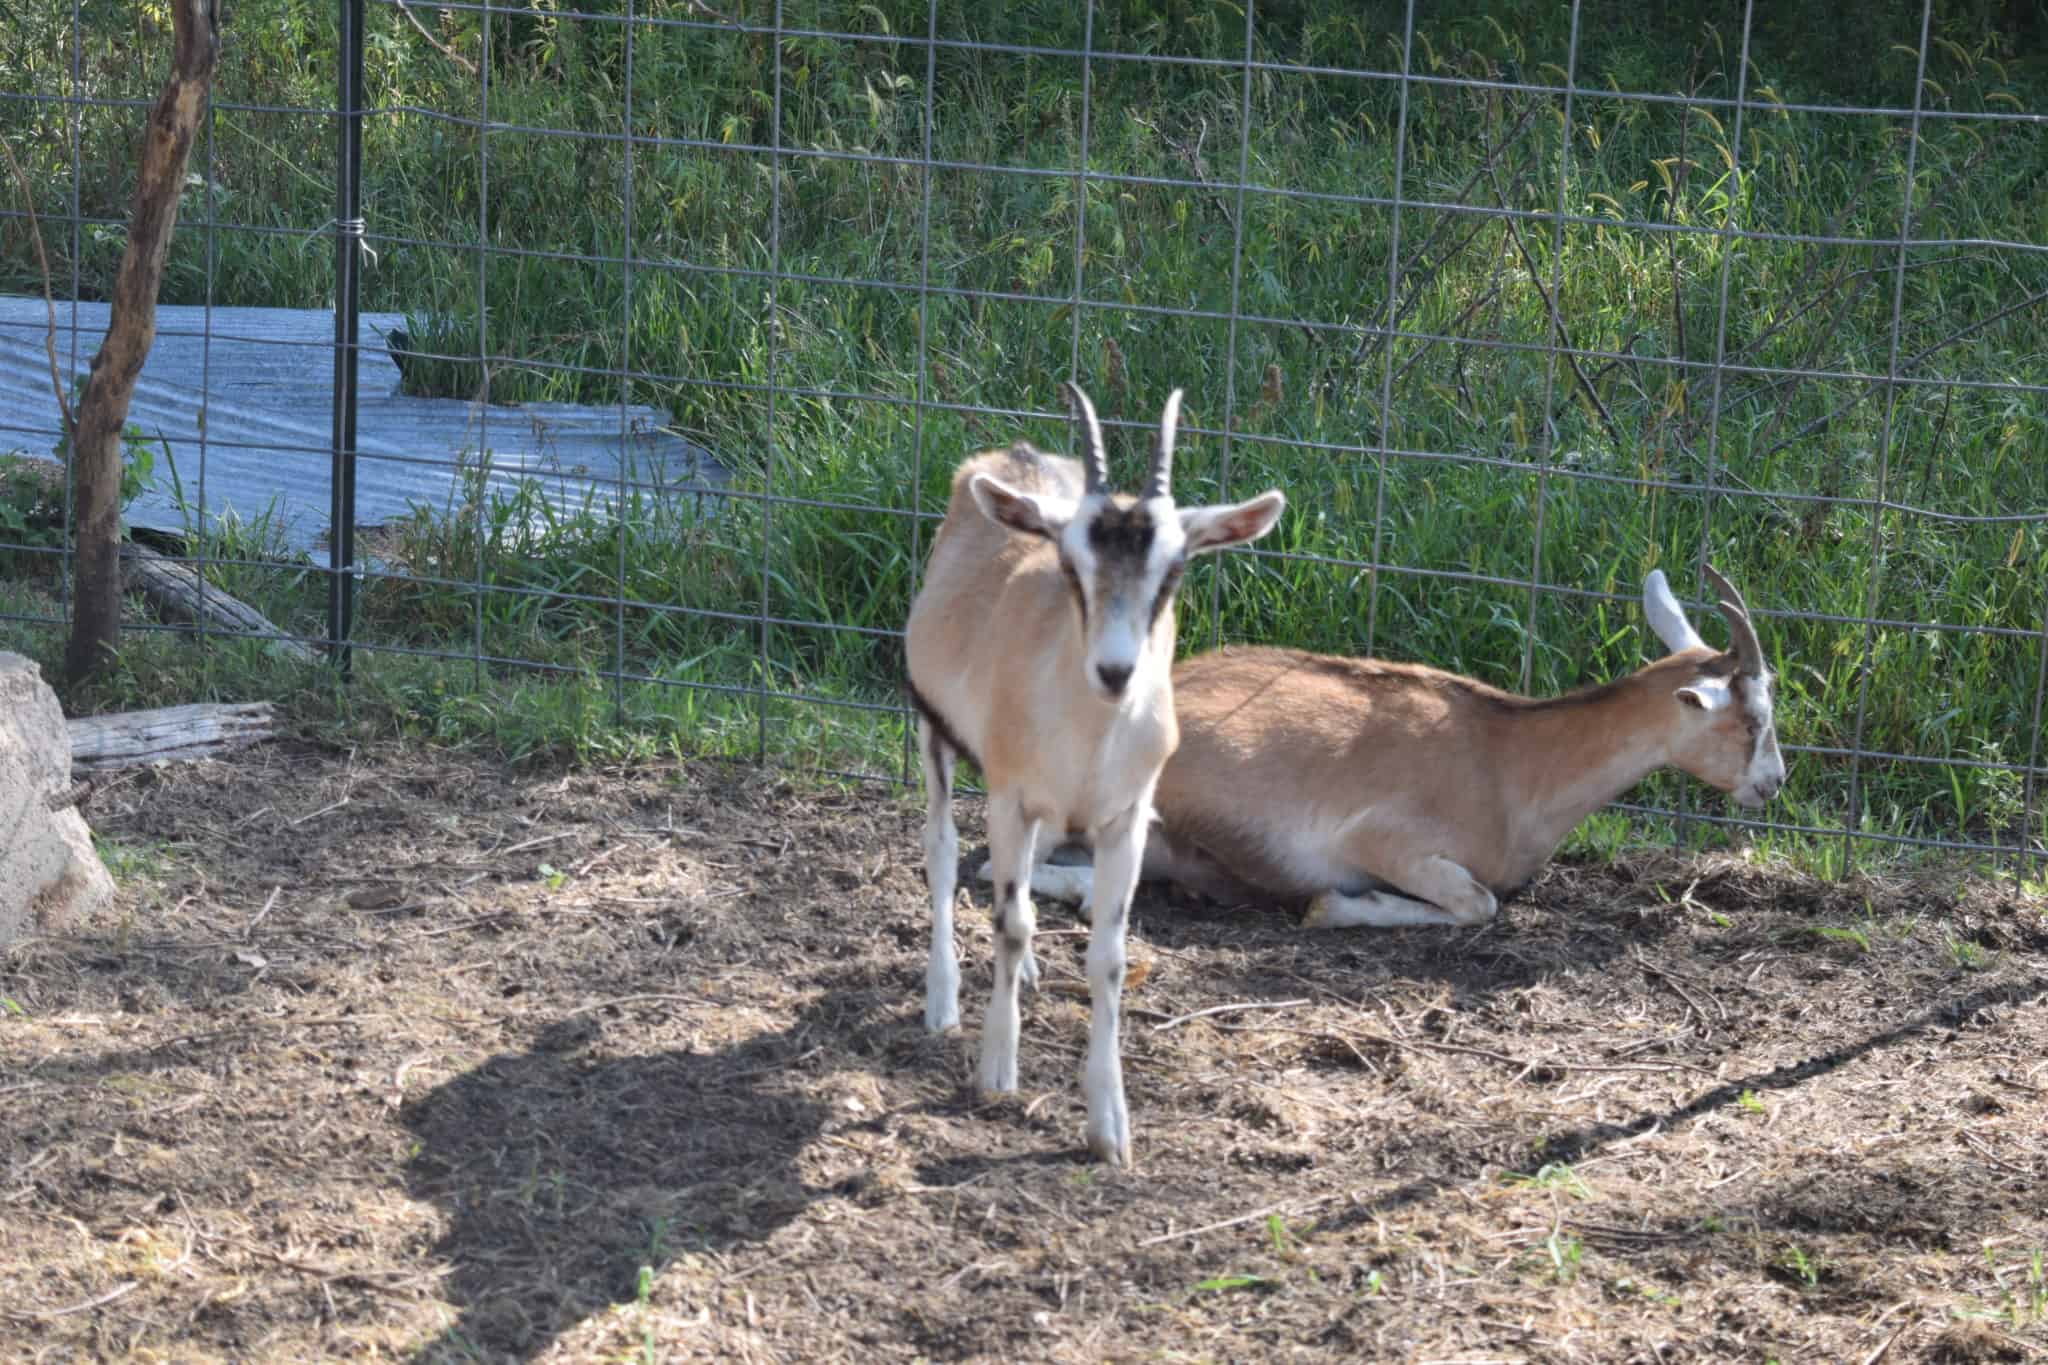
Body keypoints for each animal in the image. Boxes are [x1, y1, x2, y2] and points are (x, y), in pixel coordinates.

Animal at [909, 386, 1286, 1162]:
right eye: (1070, 562)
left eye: (1174, 568)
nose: (1116, 671)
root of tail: (1010, 455)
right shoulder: (1009, 796)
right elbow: (1010, 918)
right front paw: (997, 1068)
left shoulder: (1125, 820)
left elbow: (1108, 956)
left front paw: (1110, 1125)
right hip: (935, 734)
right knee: (943, 853)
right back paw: (943, 1000)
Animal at [1015, 564, 1785, 929]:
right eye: (1752, 718)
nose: (1773, 782)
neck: (1513, 763)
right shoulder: (1381, 839)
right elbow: (1479, 902)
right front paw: (1334, 907)